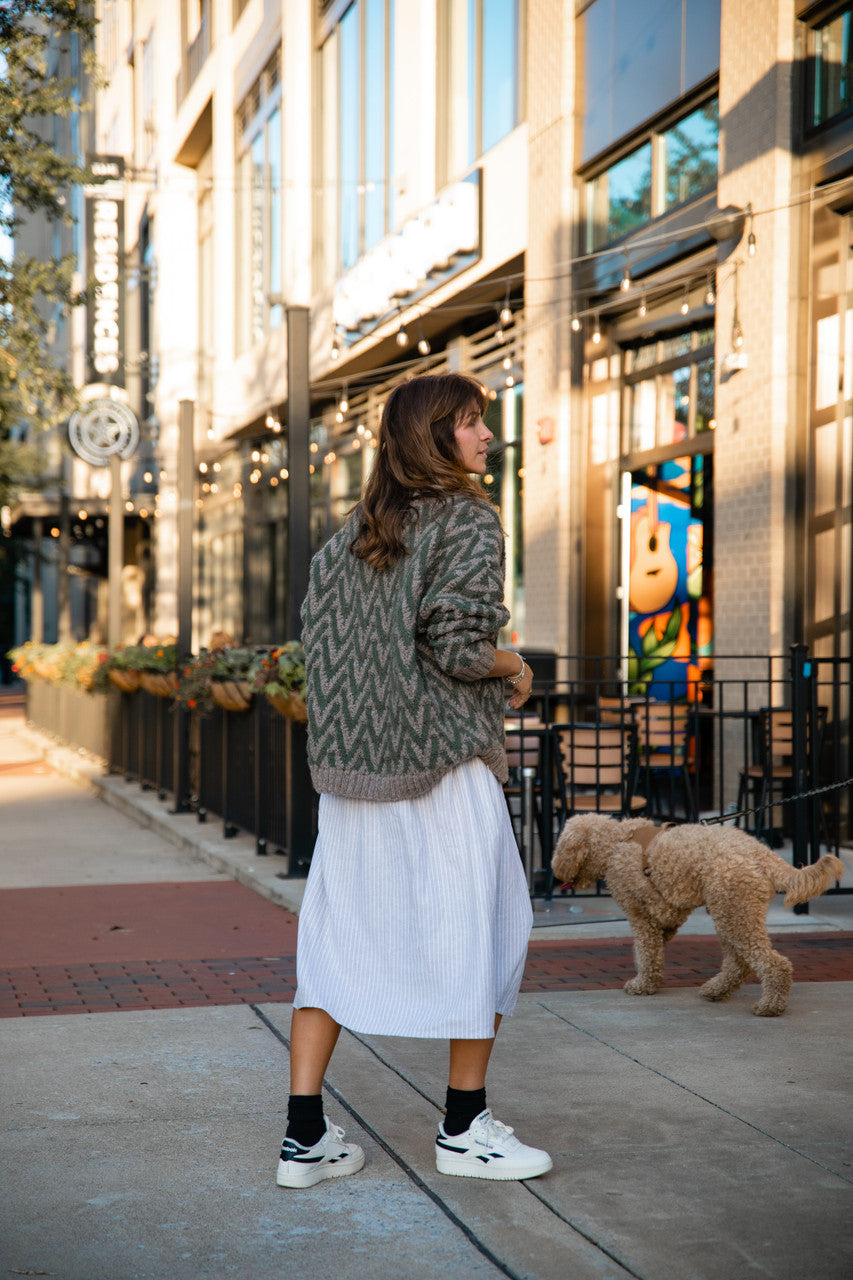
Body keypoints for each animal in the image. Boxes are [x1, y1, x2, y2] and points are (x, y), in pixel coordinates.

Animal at [548, 819, 840, 1018]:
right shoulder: (667, 916)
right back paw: (716, 990)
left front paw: (642, 984)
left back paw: (769, 1006)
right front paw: (649, 978)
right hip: (731, 912)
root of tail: (764, 855)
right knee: (738, 963)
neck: (614, 842)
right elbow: (653, 949)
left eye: (560, 846)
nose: (554, 872)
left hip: (734, 912)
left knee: (772, 963)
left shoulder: (640, 914)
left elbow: (646, 950)